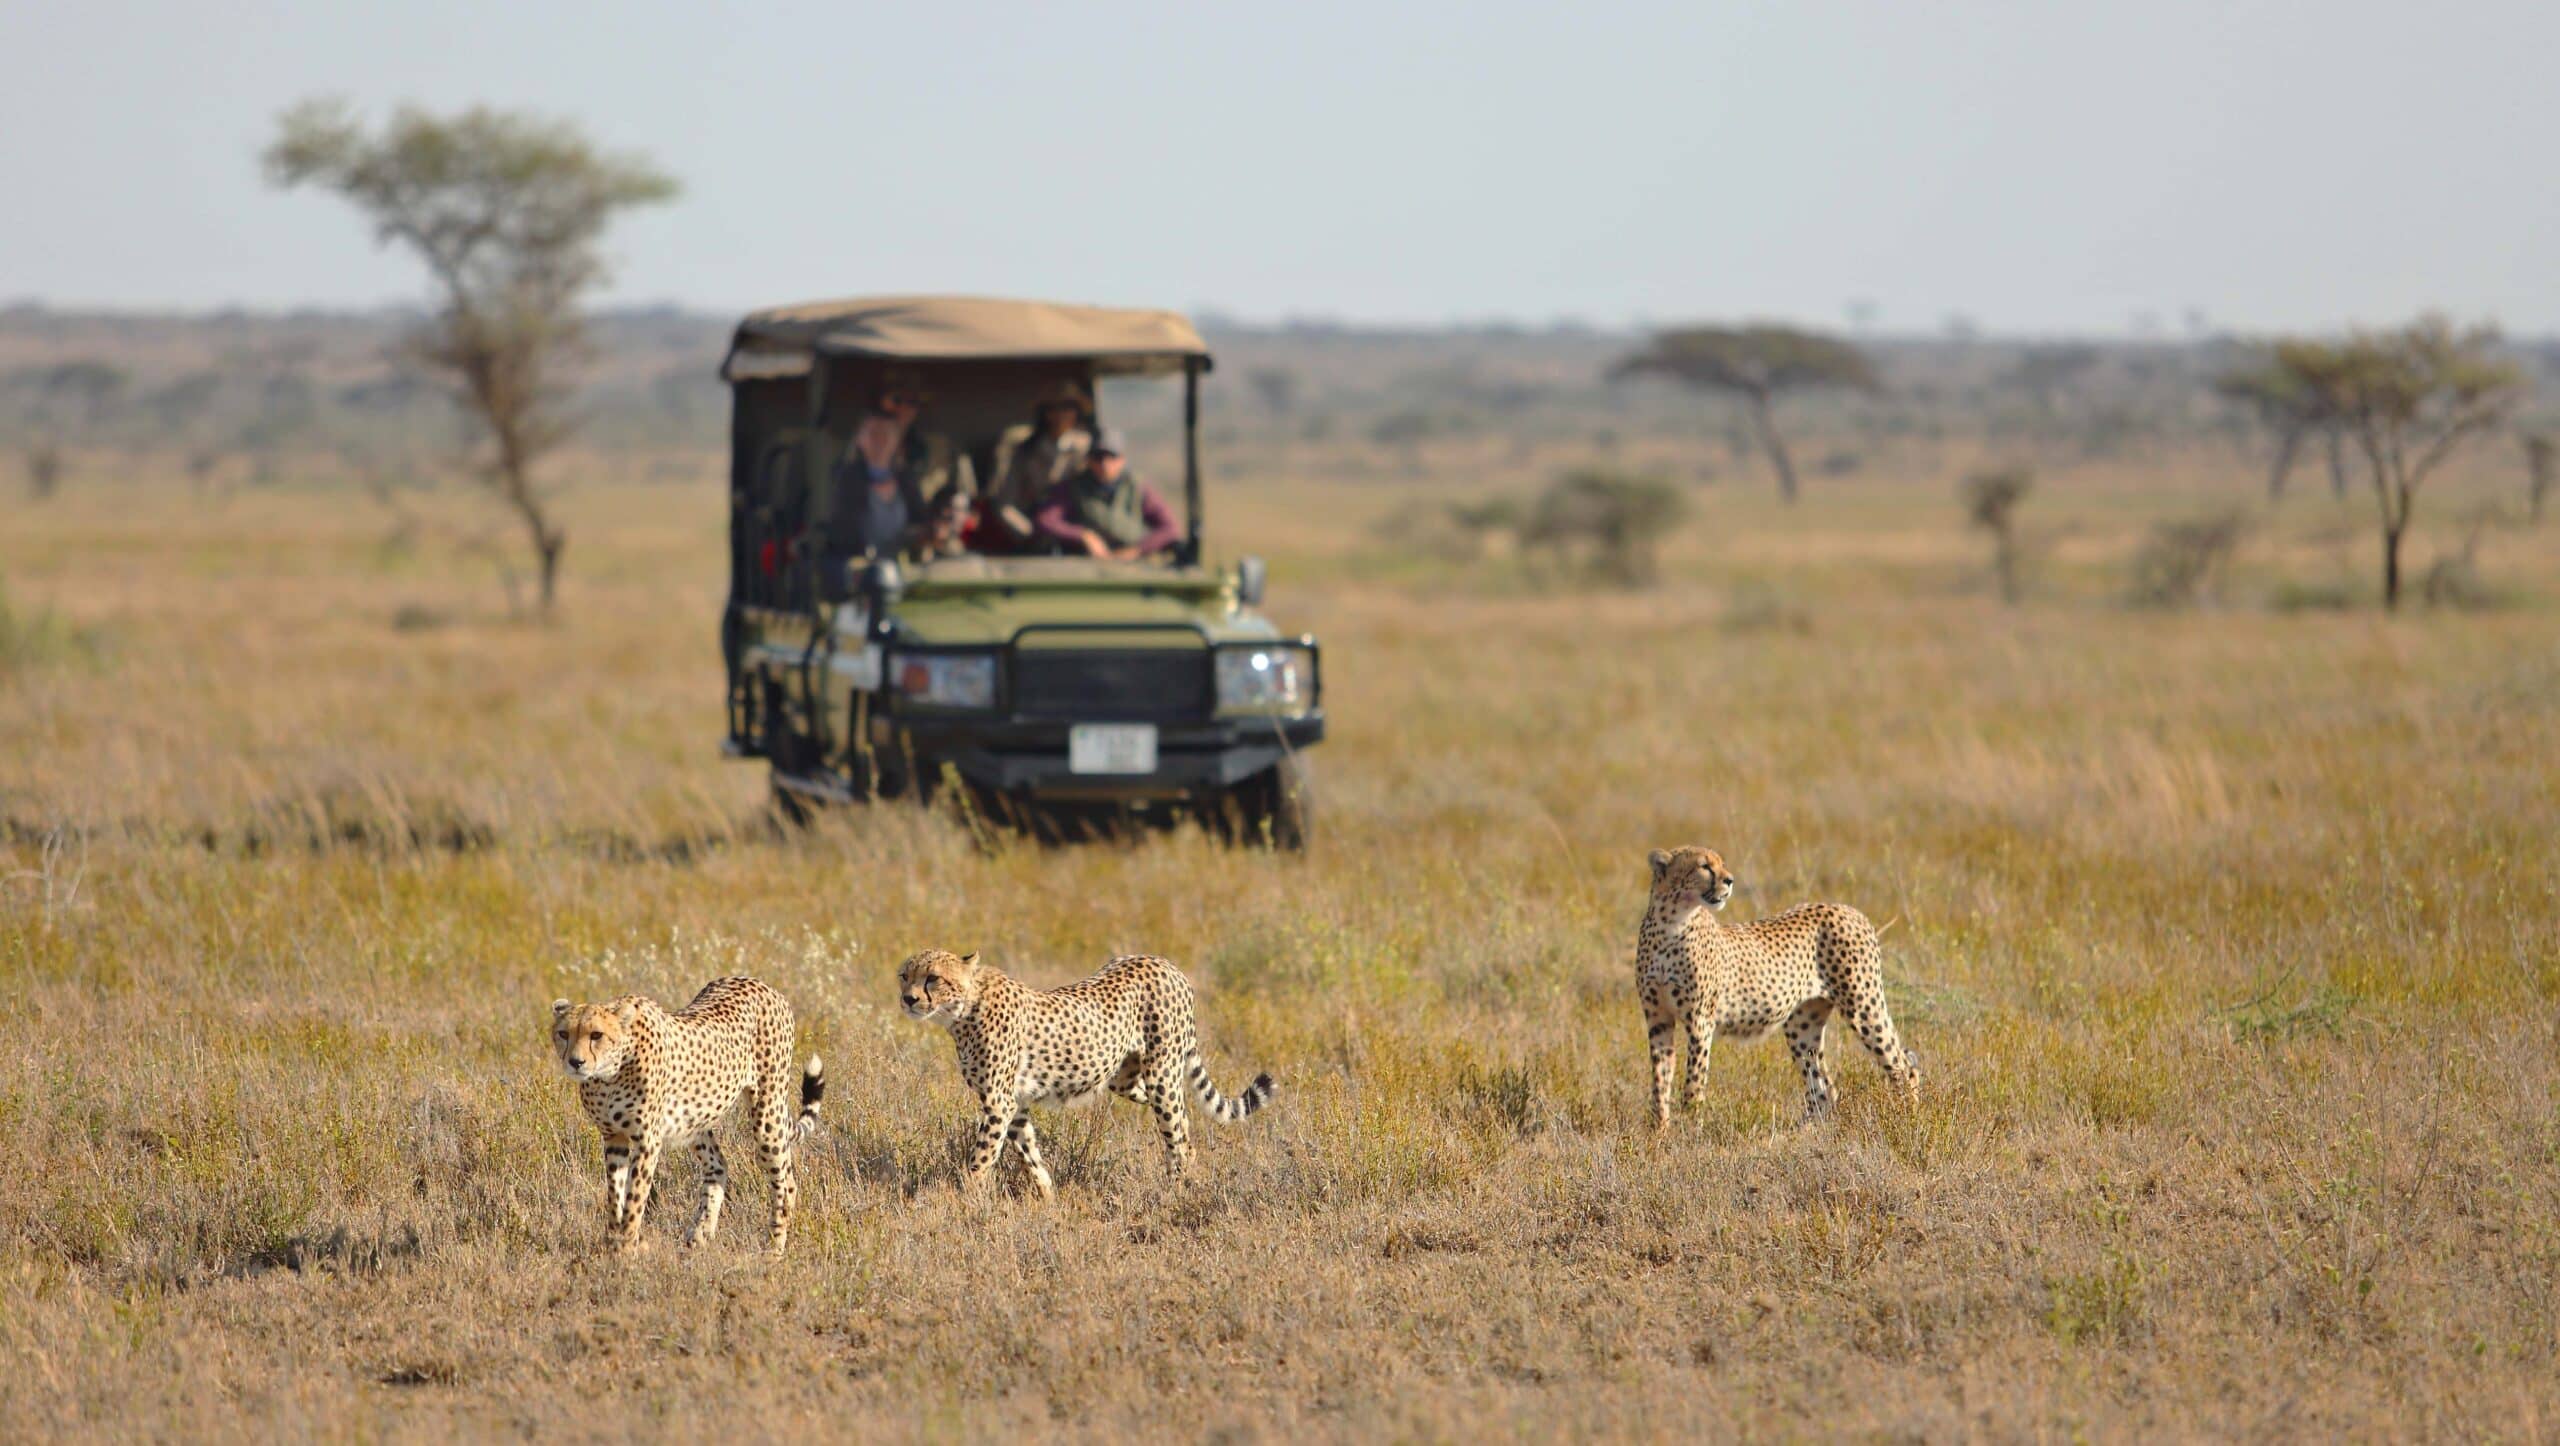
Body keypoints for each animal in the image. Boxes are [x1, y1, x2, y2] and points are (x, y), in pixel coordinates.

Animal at [547, 977, 819, 1259]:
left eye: (596, 1035)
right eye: (564, 1034)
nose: (575, 1062)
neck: (609, 1074)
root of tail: (761, 984)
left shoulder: (647, 1140)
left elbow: (635, 1198)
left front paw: (626, 1247)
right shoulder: (614, 1137)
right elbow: (615, 1195)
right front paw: (613, 1241)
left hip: (767, 1115)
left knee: (786, 1183)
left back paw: (774, 1248)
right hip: (695, 1122)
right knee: (718, 1165)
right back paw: (699, 1234)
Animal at [896, 946, 1274, 1197]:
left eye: (933, 978)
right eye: (904, 976)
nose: (908, 999)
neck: (963, 1010)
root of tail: (1162, 961)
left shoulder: (998, 1103)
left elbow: (981, 1158)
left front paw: (966, 1199)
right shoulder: (1014, 1104)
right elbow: (1029, 1153)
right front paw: (1048, 1198)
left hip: (1162, 1074)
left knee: (1176, 1130)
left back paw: (1177, 1189)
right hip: (1126, 1079)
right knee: (1182, 1121)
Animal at [1638, 844, 1925, 1126]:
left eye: (1721, 864)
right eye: (1704, 866)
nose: (1730, 880)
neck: (1671, 922)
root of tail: (1848, 909)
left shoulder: (1700, 1020)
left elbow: (1693, 1082)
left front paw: (1689, 1128)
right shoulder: (1658, 1019)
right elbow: (1660, 1080)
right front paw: (1659, 1131)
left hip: (1862, 1006)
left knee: (1902, 1065)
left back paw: (1908, 1118)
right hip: (1803, 1024)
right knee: (1822, 1087)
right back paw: (1807, 1131)